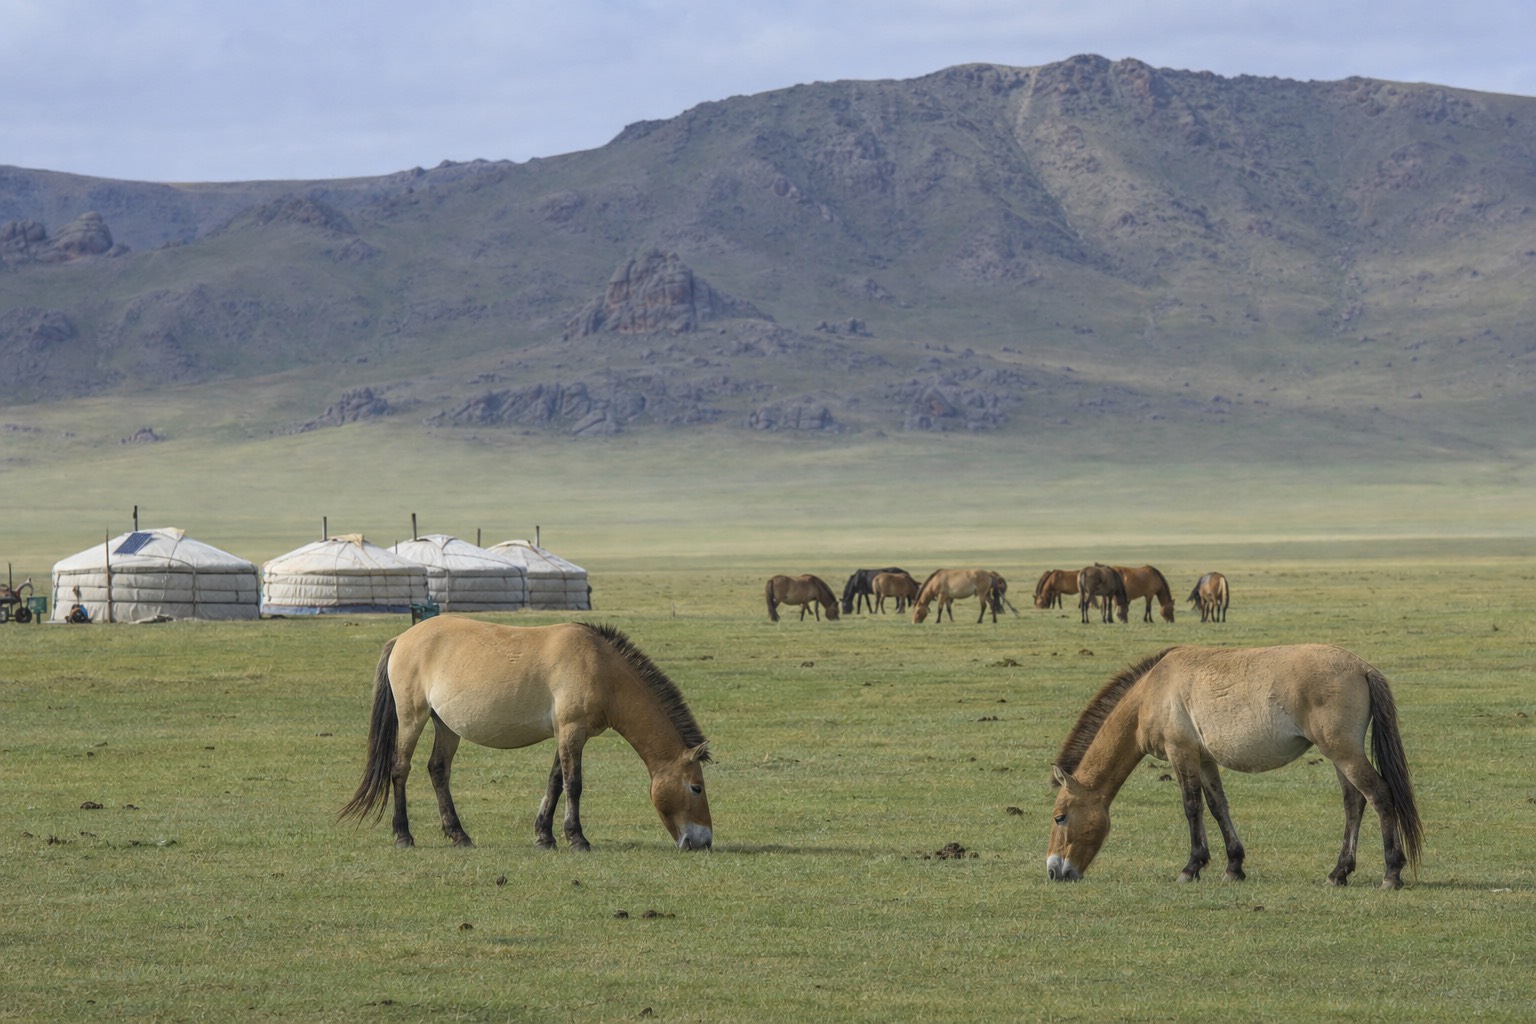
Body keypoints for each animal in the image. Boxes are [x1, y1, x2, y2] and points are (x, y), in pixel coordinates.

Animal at [340, 617, 713, 851]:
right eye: (696, 787)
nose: (704, 841)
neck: (601, 667)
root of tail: (402, 639)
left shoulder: (567, 734)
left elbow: (555, 782)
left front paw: (544, 837)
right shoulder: (572, 731)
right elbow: (573, 784)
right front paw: (577, 839)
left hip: (445, 724)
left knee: (438, 770)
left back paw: (459, 835)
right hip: (411, 717)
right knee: (400, 769)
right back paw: (403, 835)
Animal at [1046, 644, 1422, 889]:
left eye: (1059, 817)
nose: (1053, 871)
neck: (1152, 691)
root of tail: (1363, 668)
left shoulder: (1181, 753)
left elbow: (1192, 807)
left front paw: (1191, 868)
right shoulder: (1205, 759)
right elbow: (1218, 807)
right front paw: (1233, 866)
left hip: (1343, 752)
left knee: (1379, 795)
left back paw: (1391, 873)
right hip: (1339, 755)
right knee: (1354, 803)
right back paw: (1339, 873)